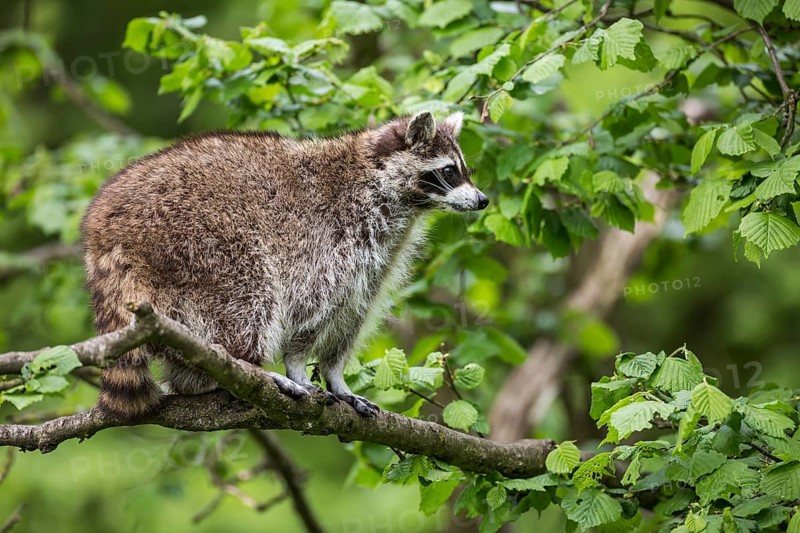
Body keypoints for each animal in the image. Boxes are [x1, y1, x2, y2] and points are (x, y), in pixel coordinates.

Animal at [82, 111, 488, 420]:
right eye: (449, 171)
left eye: (464, 168)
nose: (483, 200)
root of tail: (103, 235)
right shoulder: (331, 237)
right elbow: (310, 308)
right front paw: (296, 366)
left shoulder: (377, 258)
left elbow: (352, 314)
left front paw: (335, 376)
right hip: (200, 240)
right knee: (249, 297)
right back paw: (249, 366)